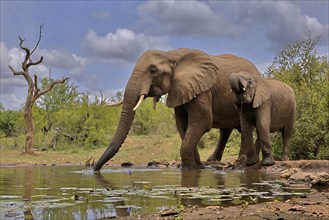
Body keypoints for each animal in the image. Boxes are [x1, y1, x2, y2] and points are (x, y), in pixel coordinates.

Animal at [93, 49, 260, 171]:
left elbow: (202, 122)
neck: (171, 55)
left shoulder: (202, 89)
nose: (95, 169)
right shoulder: (181, 90)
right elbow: (182, 126)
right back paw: (213, 161)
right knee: (226, 130)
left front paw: (190, 168)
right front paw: (195, 166)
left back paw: (241, 161)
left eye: (153, 70)